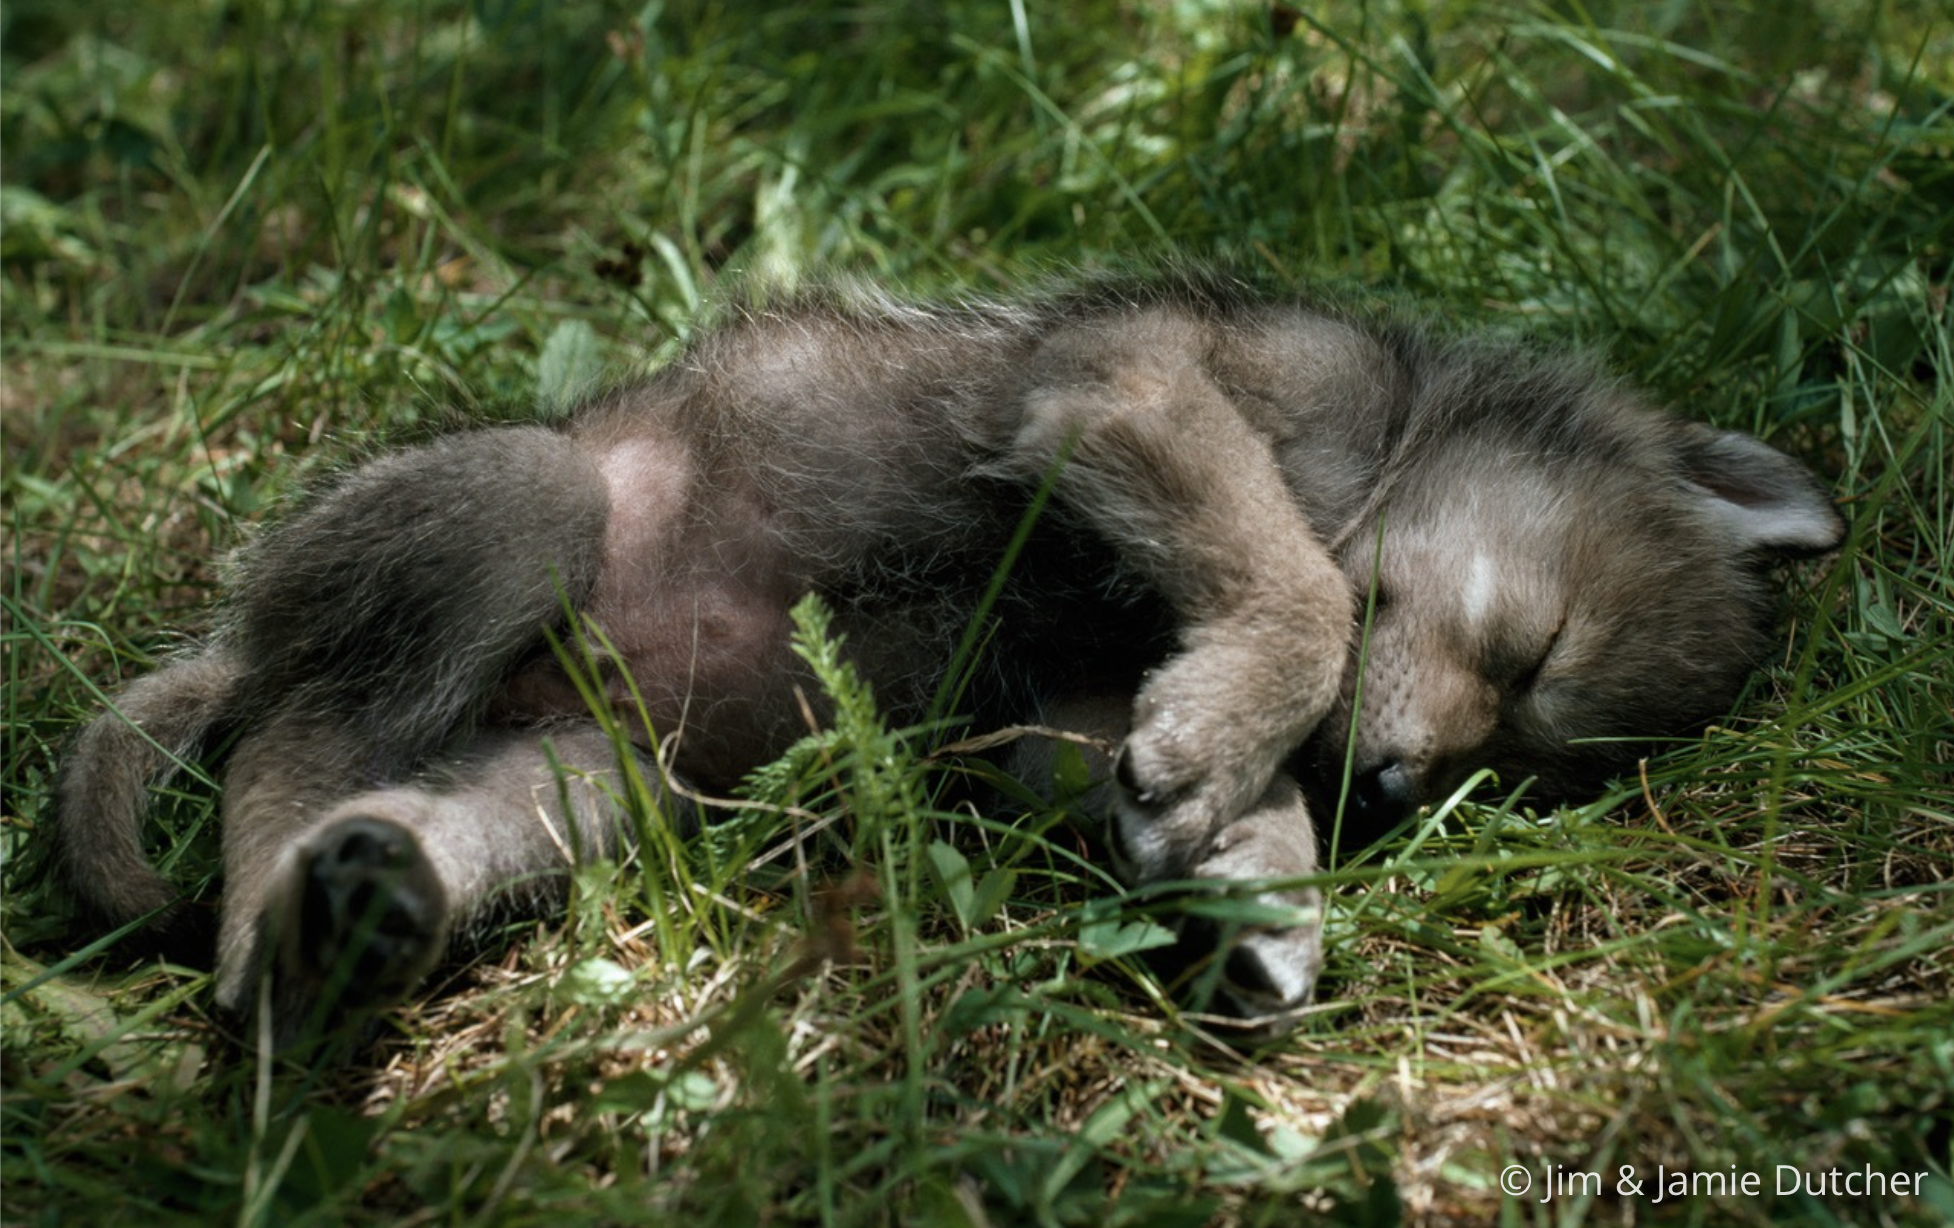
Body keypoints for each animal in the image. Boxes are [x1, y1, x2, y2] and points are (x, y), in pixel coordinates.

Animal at [50, 273, 1843, 1041]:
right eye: (1532, 655)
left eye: (1525, 763)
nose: (1400, 788)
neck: (1390, 435)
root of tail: (247, 622)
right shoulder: (1137, 385)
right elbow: (1303, 601)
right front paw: (1249, 735)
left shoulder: (1060, 716)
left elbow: (1224, 788)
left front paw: (1258, 902)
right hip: (519, 509)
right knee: (285, 739)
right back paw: (261, 951)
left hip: (589, 783)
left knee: (412, 810)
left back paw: (359, 914)